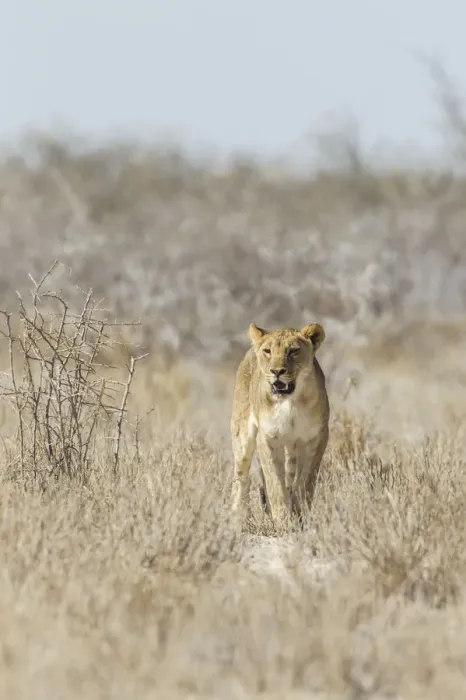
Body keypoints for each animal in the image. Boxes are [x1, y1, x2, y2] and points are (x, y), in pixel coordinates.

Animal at [230, 322, 329, 526]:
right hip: (242, 435)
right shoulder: (267, 438)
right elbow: (275, 483)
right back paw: (238, 517)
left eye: (293, 351)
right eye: (267, 351)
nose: (276, 371)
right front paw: (283, 521)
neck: (290, 403)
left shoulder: (317, 437)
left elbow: (305, 481)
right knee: (241, 477)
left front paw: (300, 514)